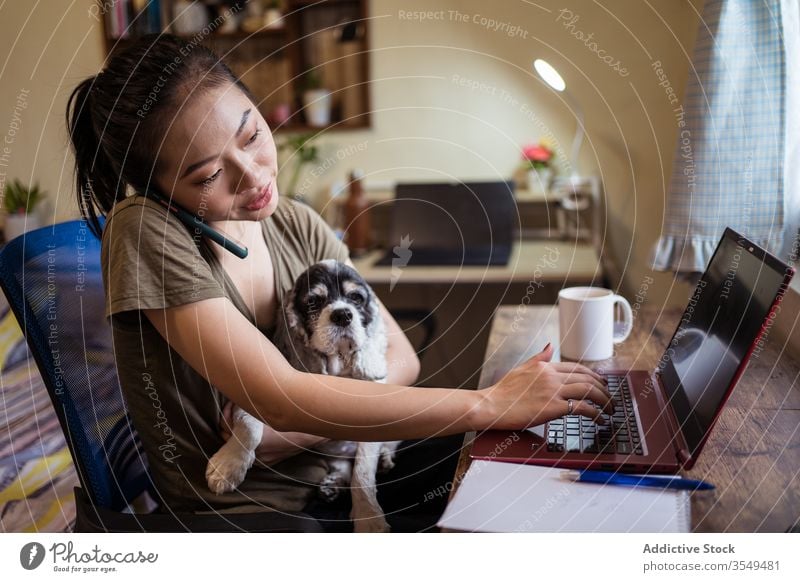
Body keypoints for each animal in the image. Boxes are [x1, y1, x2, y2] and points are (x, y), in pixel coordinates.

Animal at [206, 260, 400, 532]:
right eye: (313, 302)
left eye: (356, 298)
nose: (343, 314)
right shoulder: (253, 398)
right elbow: (249, 427)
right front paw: (227, 467)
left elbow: (362, 473)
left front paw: (369, 518)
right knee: (342, 464)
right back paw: (333, 485)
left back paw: (381, 461)